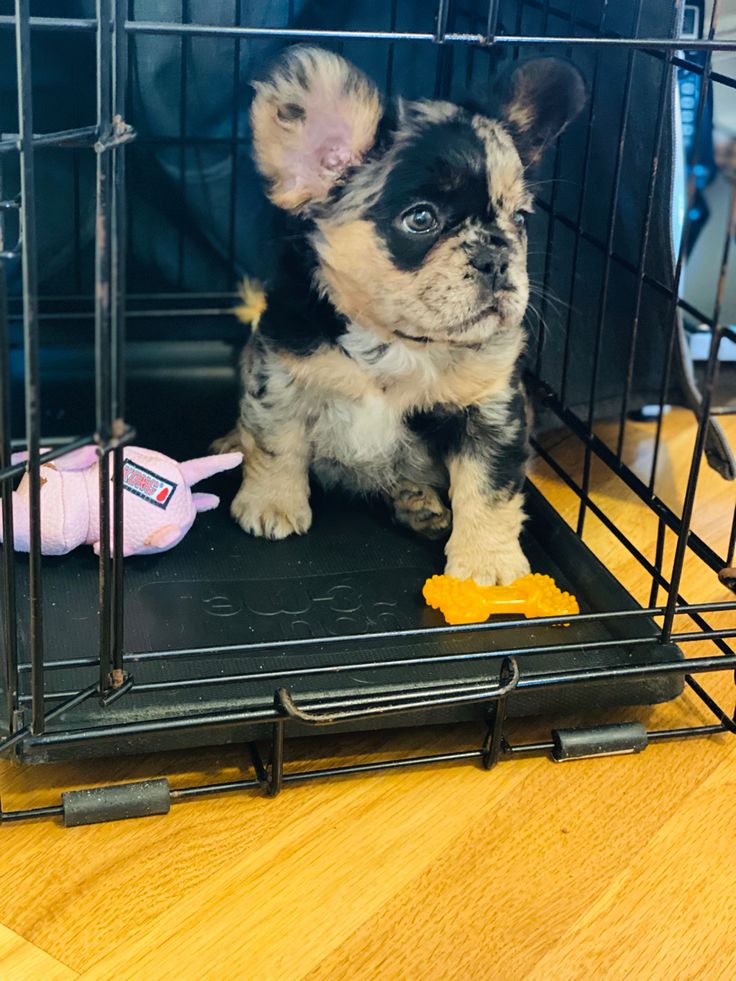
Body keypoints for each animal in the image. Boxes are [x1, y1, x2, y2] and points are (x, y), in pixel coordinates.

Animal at [218, 47, 588, 580]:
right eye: (421, 218)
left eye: (519, 219)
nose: (496, 257)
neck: (395, 344)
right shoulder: (281, 375)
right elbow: (276, 441)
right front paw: (271, 502)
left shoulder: (491, 413)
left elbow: (489, 488)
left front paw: (488, 562)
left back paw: (418, 502)